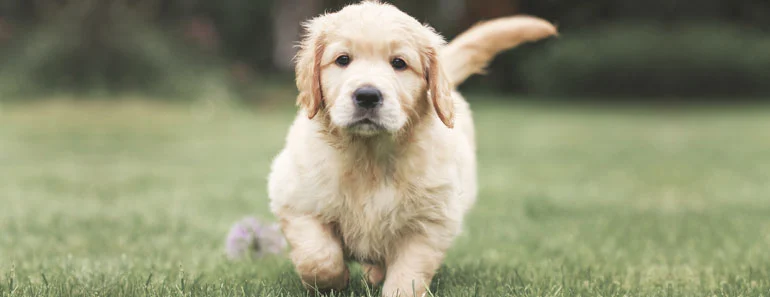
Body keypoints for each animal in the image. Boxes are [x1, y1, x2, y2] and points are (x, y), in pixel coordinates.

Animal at [268, 1, 556, 294]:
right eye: (342, 59)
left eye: (399, 63)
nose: (367, 95)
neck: (370, 155)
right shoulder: (295, 198)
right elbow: (318, 258)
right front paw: (335, 282)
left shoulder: (431, 221)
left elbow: (410, 271)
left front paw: (396, 289)